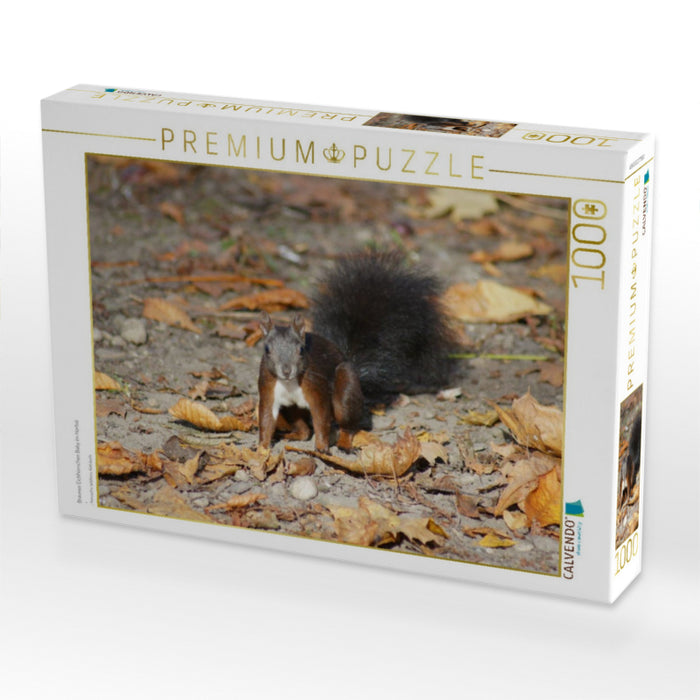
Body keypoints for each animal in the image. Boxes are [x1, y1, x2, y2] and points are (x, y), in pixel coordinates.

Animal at [257, 250, 455, 451]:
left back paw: (344, 443)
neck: (288, 383)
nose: (286, 370)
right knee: (304, 429)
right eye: (267, 349)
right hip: (291, 410)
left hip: (345, 389)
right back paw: (291, 435)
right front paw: (261, 449)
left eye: (301, 350)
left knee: (347, 424)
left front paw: (322, 448)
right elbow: (266, 418)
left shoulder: (316, 387)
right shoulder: (267, 388)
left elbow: (321, 418)